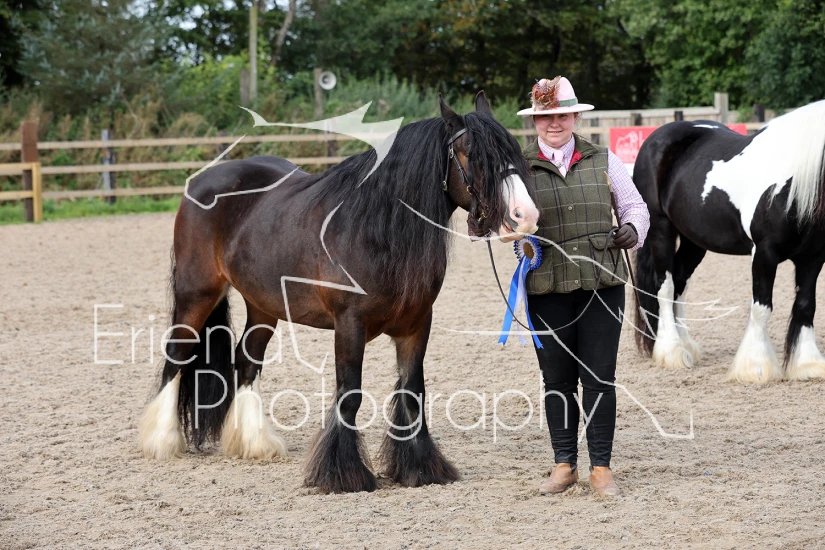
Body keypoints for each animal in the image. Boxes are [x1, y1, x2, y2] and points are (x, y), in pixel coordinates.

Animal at [137, 92, 540, 493]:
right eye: (472, 154)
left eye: (514, 152)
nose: (526, 216)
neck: (376, 229)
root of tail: (202, 181)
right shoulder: (350, 324)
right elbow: (350, 394)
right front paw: (342, 474)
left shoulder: (417, 325)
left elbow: (413, 390)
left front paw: (419, 468)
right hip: (198, 293)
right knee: (177, 355)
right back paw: (161, 441)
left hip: (263, 305)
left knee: (247, 360)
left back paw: (254, 443)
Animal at [632, 99, 825, 384]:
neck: (794, 183)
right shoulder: (764, 253)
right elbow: (762, 307)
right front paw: (756, 367)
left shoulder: (812, 257)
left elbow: (805, 306)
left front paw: (807, 364)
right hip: (660, 230)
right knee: (665, 287)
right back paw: (672, 351)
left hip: (694, 242)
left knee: (679, 282)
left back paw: (686, 345)